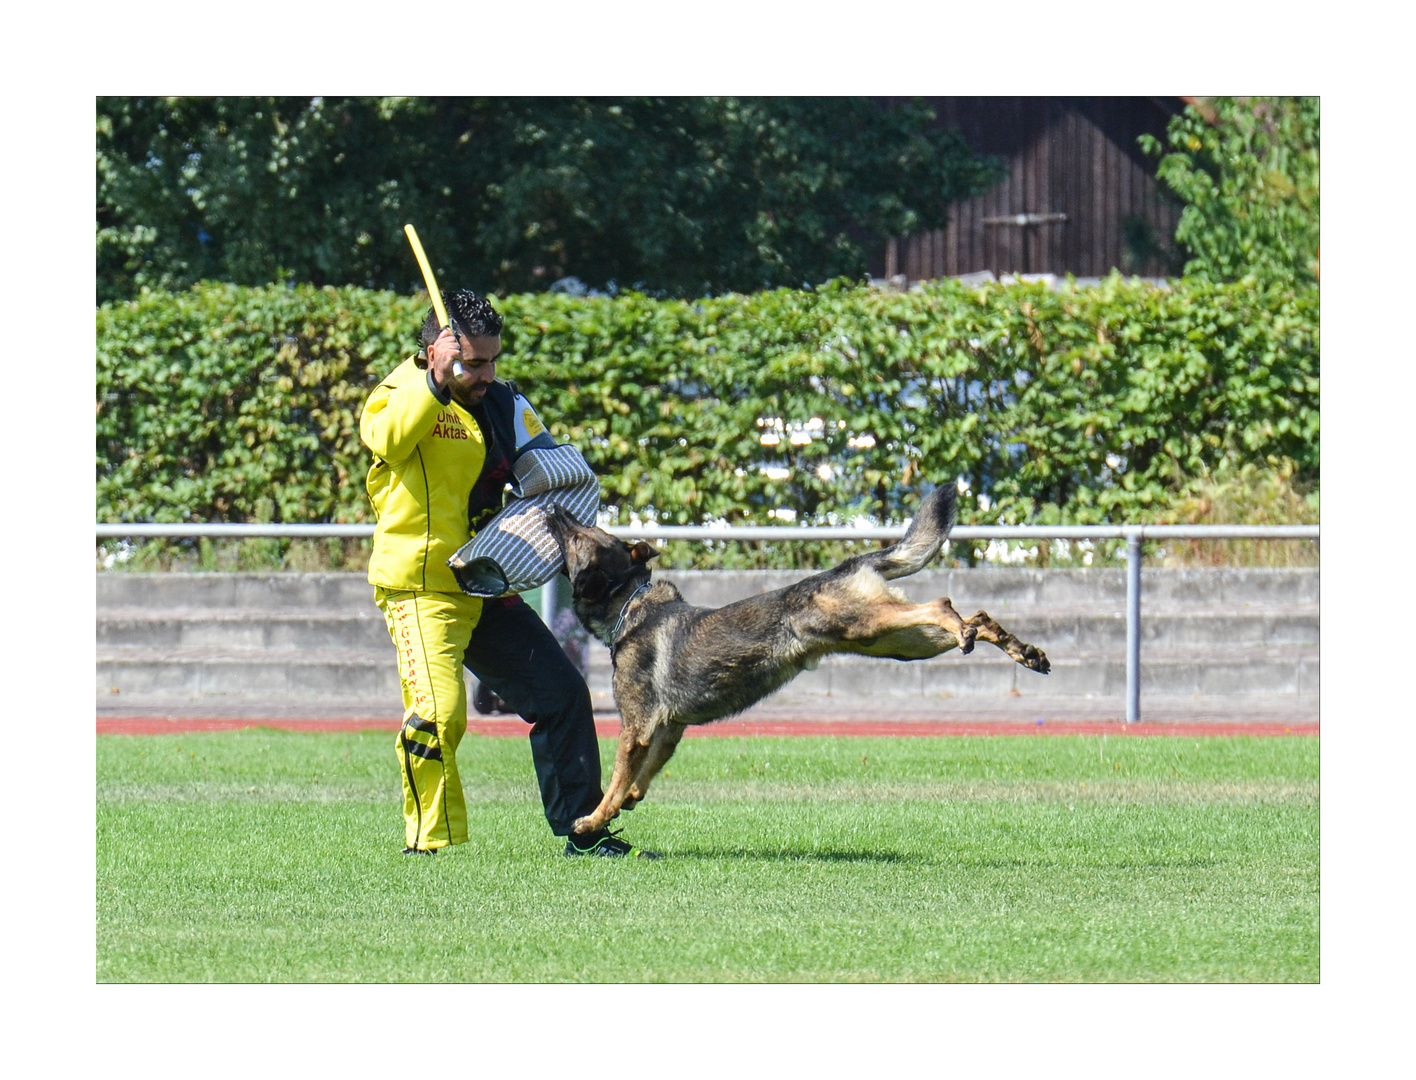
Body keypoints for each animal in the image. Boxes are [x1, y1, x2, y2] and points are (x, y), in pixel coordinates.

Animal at [546, 486, 1047, 837]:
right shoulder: (668, 730)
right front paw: (628, 800)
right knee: (977, 617)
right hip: (897, 641)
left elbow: (614, 780)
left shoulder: (637, 728)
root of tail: (848, 565)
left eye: (578, 537)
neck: (630, 602)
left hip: (868, 624)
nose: (555, 510)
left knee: (942, 604)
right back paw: (1021, 650)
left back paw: (971, 631)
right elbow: (642, 775)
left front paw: (592, 820)